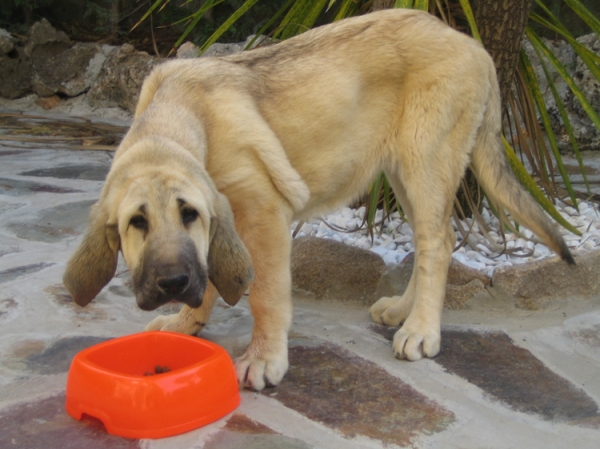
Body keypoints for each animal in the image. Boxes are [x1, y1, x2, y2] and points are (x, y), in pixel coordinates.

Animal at [63, 8, 576, 390]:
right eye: (137, 223)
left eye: (187, 213)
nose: (171, 283)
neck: (183, 117)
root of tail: (473, 45)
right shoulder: (222, 222)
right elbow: (209, 274)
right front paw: (186, 324)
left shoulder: (263, 213)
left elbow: (266, 295)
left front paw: (264, 358)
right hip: (403, 171)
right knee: (434, 239)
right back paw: (402, 310)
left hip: (426, 159)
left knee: (437, 242)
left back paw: (421, 331)